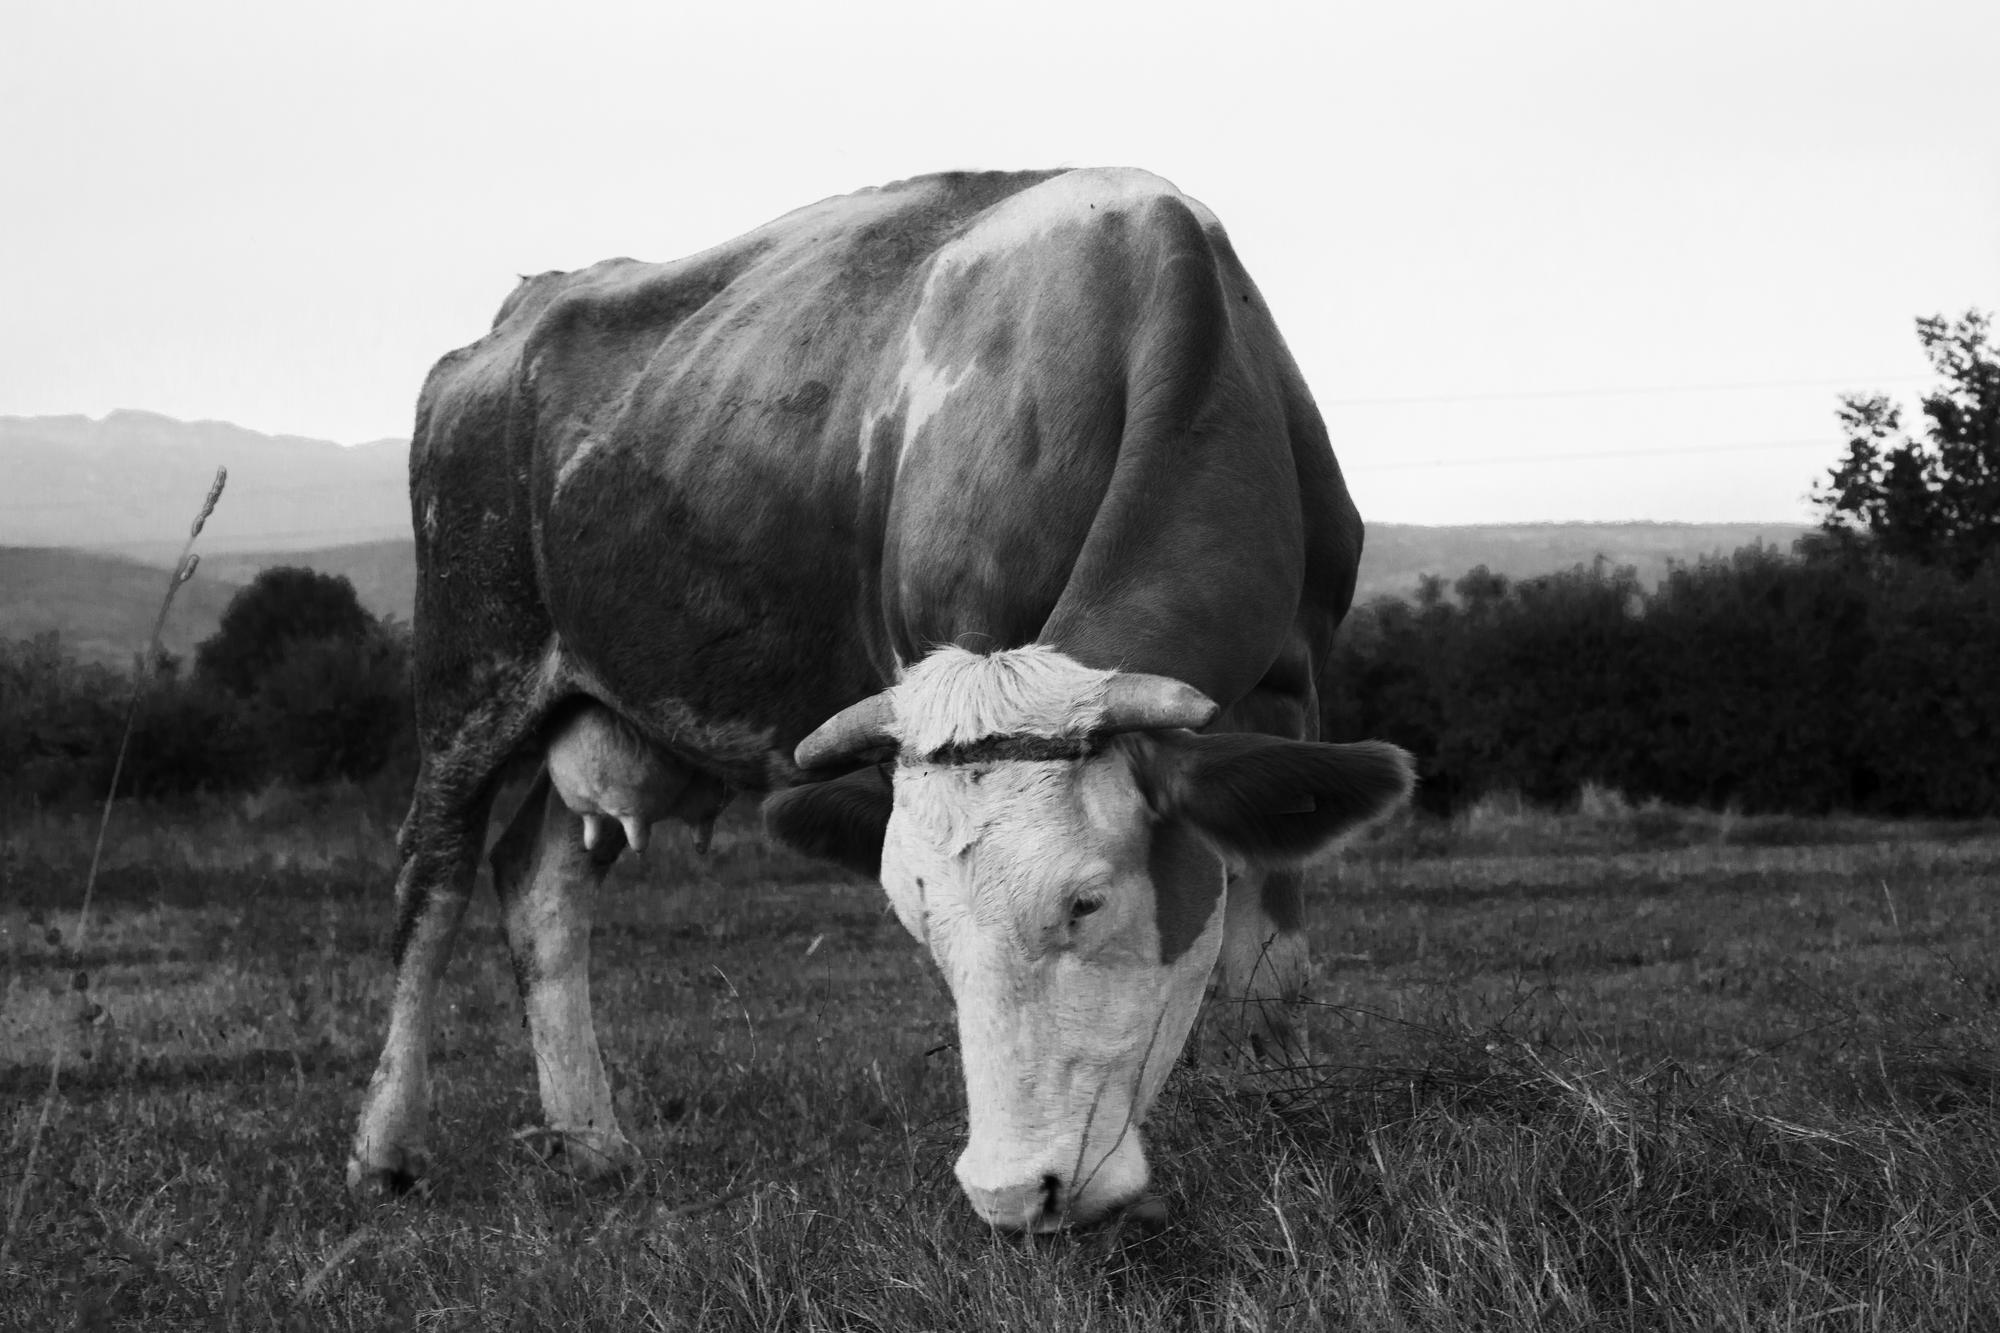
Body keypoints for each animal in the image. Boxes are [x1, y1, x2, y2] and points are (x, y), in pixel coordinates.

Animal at [347, 167, 1414, 1232]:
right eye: (915, 914)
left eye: (1087, 900)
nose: (1012, 1194)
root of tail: (524, 312)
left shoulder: (1291, 686)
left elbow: (1273, 966)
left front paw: (1281, 1123)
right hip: (472, 673)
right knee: (431, 882)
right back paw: (384, 1149)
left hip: (597, 707)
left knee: (541, 885)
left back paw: (593, 1142)